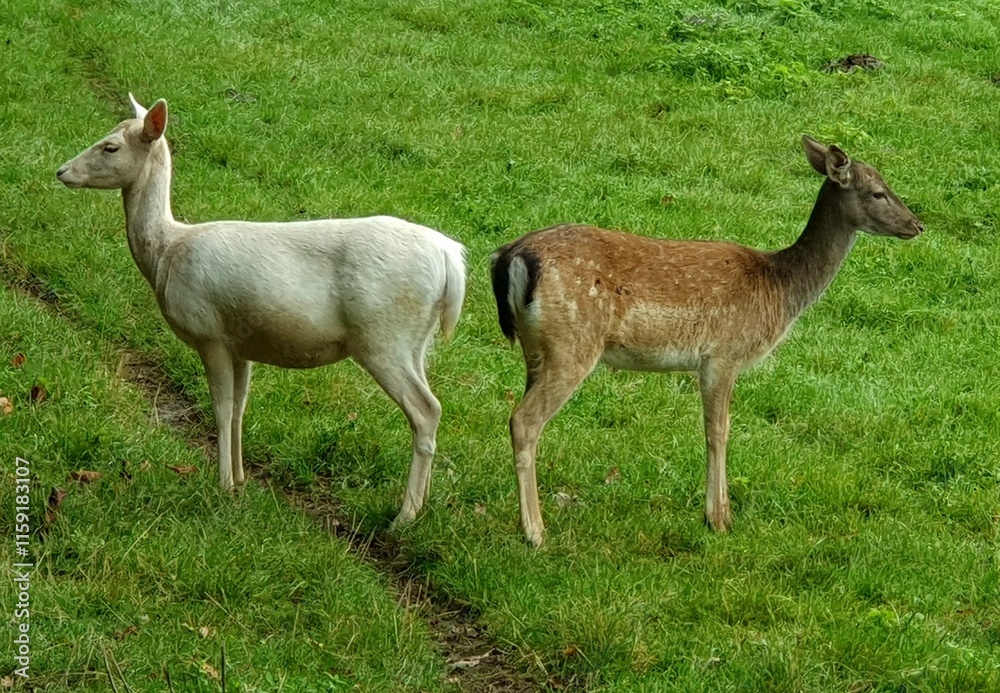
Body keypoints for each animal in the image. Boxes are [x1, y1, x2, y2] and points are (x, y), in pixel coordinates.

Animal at [57, 94, 466, 527]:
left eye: (110, 147)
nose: (61, 171)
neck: (167, 253)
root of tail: (450, 260)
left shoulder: (209, 332)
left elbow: (221, 408)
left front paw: (221, 485)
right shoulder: (241, 343)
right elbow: (239, 407)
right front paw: (239, 480)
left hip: (382, 335)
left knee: (426, 410)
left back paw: (405, 515)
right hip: (415, 342)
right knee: (429, 406)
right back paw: (420, 505)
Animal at [490, 135, 923, 547]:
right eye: (878, 192)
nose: (917, 225)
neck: (779, 290)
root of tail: (512, 257)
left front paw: (716, 514)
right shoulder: (723, 354)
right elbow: (719, 431)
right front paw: (719, 519)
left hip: (537, 350)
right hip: (573, 344)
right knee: (524, 421)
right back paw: (535, 533)